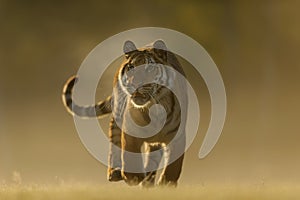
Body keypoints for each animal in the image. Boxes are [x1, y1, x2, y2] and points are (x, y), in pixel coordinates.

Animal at [62, 39, 186, 187]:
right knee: (114, 142)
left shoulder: (178, 137)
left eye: (149, 68)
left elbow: (173, 167)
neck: (154, 109)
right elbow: (129, 153)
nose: (135, 84)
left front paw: (166, 183)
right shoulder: (130, 129)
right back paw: (116, 172)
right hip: (117, 115)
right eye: (131, 67)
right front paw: (133, 177)